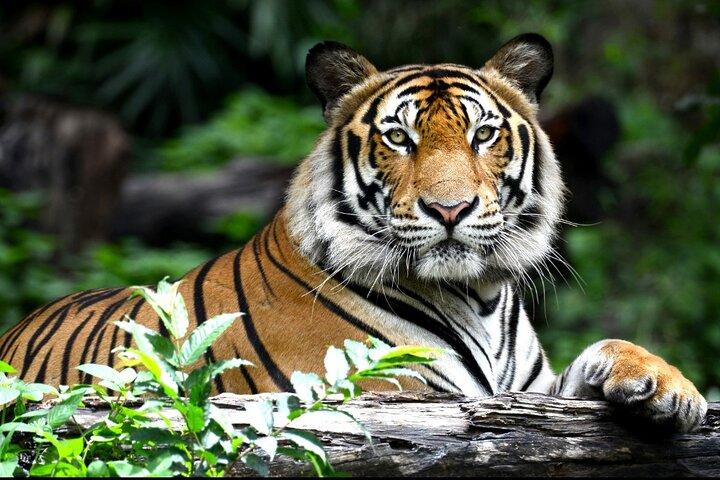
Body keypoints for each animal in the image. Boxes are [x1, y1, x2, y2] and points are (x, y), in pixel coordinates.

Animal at [0, 33, 706, 432]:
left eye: (483, 134)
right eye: (400, 138)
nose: (449, 209)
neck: (479, 298)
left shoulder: (530, 396)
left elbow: (604, 351)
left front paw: (669, 387)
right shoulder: (387, 396)